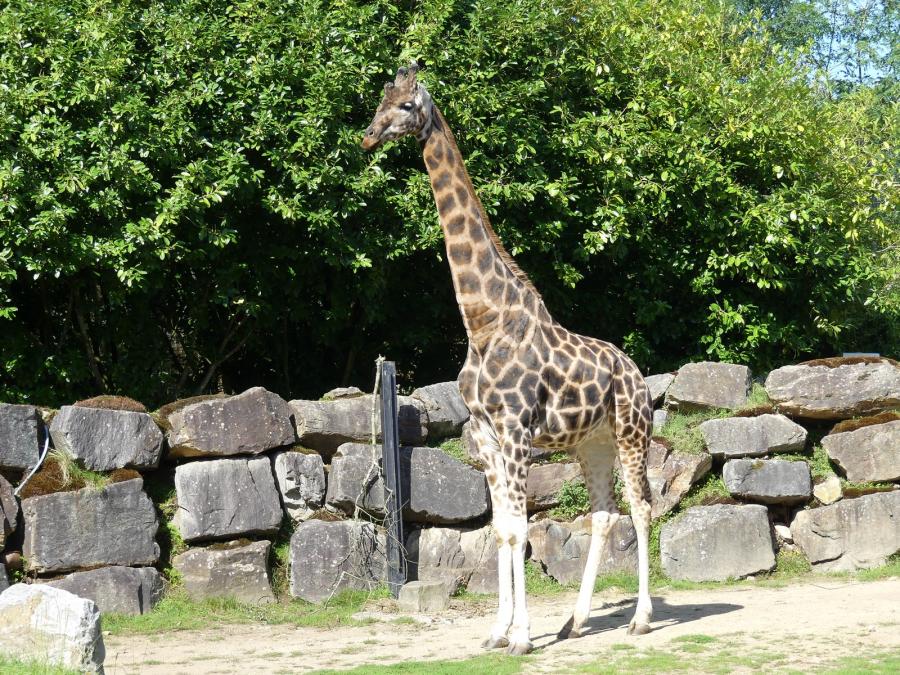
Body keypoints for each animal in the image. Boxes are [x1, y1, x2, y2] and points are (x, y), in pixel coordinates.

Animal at [362, 63, 654, 655]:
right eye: (380, 99)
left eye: (407, 106)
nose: (369, 137)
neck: (483, 320)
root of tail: (638, 375)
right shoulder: (485, 433)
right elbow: (501, 529)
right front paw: (497, 632)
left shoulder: (516, 429)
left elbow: (521, 528)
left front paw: (519, 636)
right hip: (592, 443)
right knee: (604, 513)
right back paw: (574, 622)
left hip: (632, 432)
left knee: (640, 507)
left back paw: (640, 619)